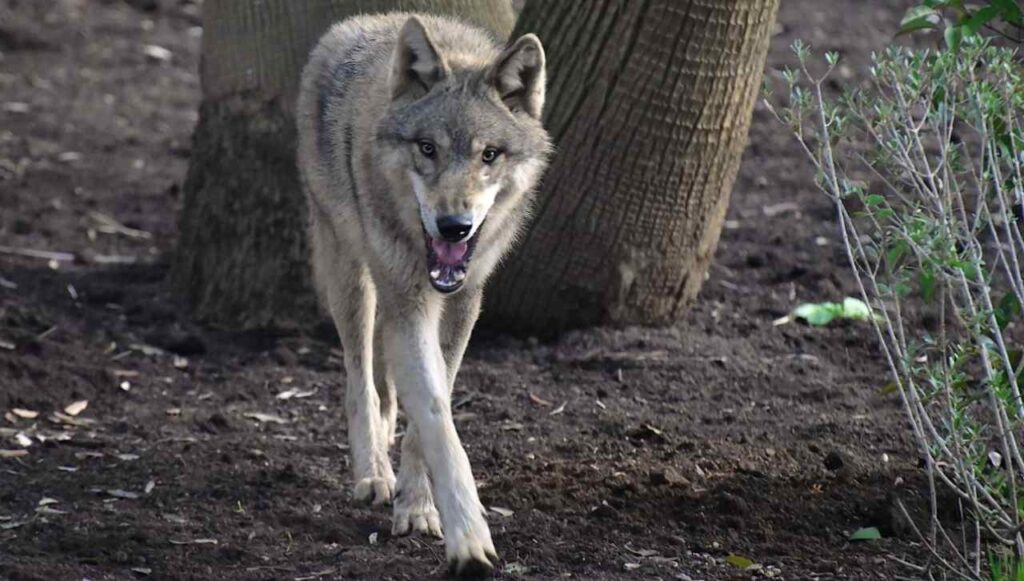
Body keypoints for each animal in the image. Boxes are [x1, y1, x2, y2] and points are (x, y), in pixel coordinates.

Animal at [296, 12, 550, 576]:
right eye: (427, 148)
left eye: (489, 154)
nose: (454, 226)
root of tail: (364, 22)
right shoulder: (408, 305)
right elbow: (435, 416)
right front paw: (468, 540)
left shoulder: (462, 305)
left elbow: (434, 406)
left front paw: (416, 505)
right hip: (351, 276)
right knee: (360, 380)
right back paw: (372, 474)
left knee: (386, 387)